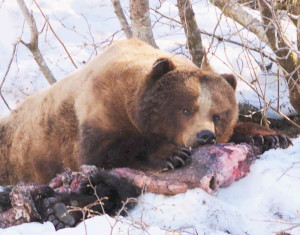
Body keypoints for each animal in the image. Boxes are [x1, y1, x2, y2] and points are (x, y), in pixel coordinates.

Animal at [0, 39, 290, 185]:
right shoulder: (99, 109)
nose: (205, 136)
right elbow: (101, 150)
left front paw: (272, 136)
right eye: (185, 109)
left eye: (217, 115)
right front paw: (172, 154)